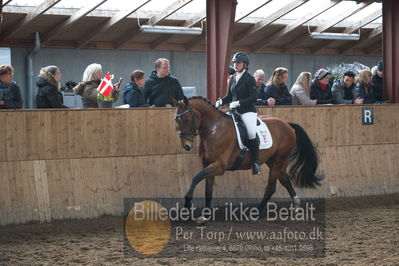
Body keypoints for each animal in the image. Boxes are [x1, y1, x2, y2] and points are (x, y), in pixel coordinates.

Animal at [173, 95, 324, 214]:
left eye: (186, 119)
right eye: (176, 120)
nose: (186, 146)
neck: (213, 130)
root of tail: (287, 124)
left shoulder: (219, 166)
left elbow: (196, 178)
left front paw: (187, 204)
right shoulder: (209, 165)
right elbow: (207, 189)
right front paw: (205, 215)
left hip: (278, 161)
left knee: (271, 187)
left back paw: (256, 212)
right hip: (273, 161)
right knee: (285, 179)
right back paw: (297, 204)